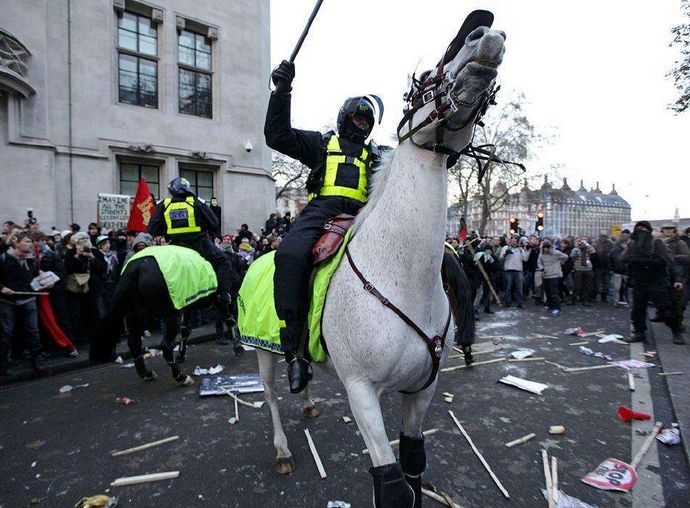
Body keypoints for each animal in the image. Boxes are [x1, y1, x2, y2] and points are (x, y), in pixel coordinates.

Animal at [253, 12, 500, 508]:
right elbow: (391, 485)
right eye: (422, 80)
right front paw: (283, 79)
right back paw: (283, 449)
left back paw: (307, 396)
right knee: (269, 396)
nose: (484, 36)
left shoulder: (421, 389)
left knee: (300, 377)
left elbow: (413, 464)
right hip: (261, 349)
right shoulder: (362, 391)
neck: (404, 277)